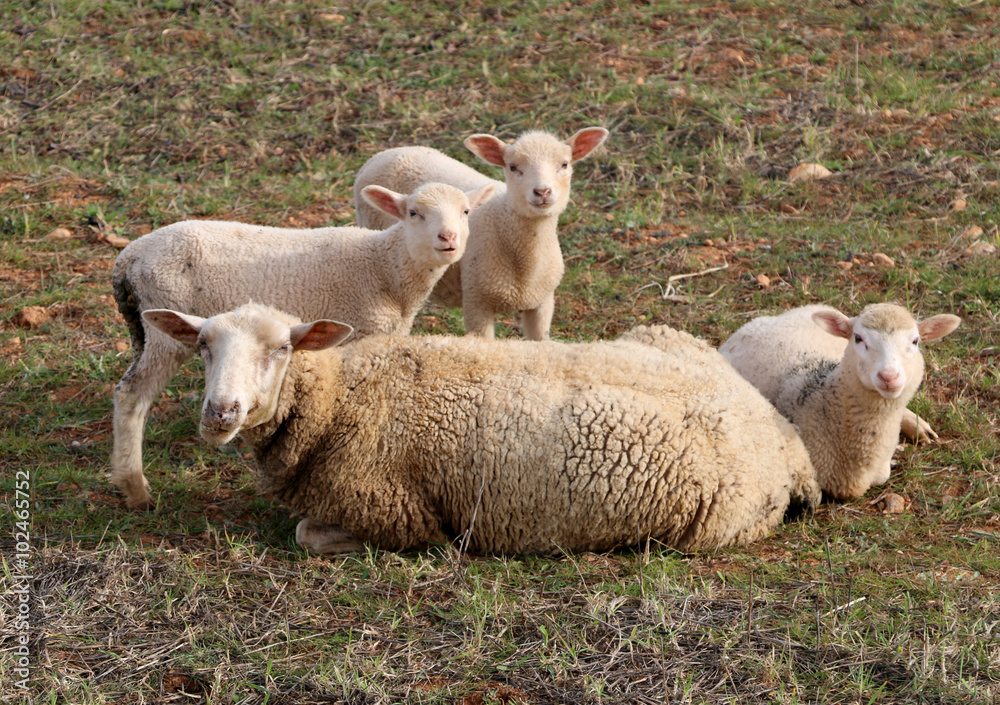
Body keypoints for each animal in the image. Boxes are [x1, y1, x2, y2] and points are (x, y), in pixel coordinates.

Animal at [110, 182, 496, 508]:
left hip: (143, 329)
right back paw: (136, 489)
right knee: (132, 395)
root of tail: (127, 258)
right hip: (163, 327)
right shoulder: (361, 330)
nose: (448, 238)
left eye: (465, 211)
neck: (386, 267)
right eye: (414, 212)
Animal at [139, 302, 820, 556]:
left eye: (281, 349)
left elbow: (308, 533)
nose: (220, 413)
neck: (340, 398)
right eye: (202, 346)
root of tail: (787, 443)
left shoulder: (396, 511)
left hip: (712, 527)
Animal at [352, 127, 608, 340]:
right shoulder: (477, 302)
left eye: (564, 164)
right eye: (512, 167)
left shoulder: (542, 303)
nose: (542, 192)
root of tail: (387, 152)